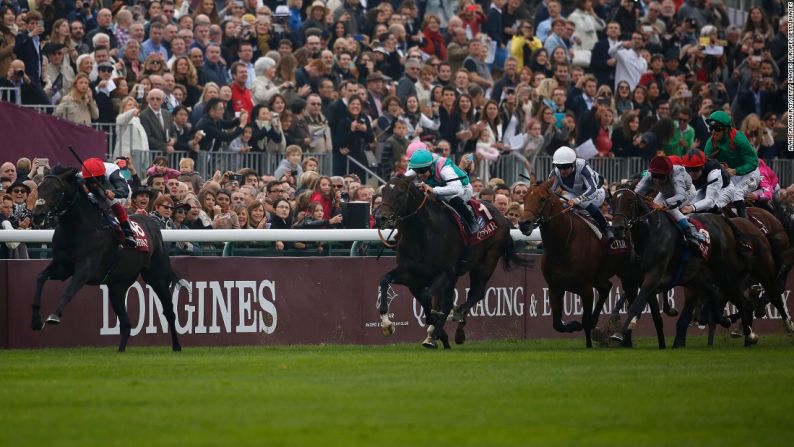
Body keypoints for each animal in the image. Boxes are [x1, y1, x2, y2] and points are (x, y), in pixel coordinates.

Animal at [31, 166, 181, 352]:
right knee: (126, 324)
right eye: (39, 188)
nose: (37, 215)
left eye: (57, 190)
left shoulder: (86, 268)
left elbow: (69, 290)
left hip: (157, 277)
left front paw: (54, 316)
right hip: (118, 286)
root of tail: (150, 221)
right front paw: (36, 320)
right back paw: (120, 351)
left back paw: (177, 346)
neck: (77, 228)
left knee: (169, 312)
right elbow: (40, 277)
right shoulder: (63, 266)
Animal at [376, 175, 528, 350]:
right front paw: (387, 325)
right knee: (451, 301)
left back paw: (457, 321)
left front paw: (434, 323)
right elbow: (385, 281)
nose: (381, 218)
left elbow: (427, 298)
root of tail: (502, 216)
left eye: (400, 193)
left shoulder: (445, 272)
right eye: (383, 191)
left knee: (476, 293)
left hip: (486, 261)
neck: (422, 235)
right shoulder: (411, 276)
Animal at [516, 178, 664, 350]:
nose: (523, 223)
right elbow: (557, 324)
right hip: (602, 277)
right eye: (524, 197)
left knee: (640, 302)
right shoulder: (554, 287)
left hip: (630, 277)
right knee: (607, 288)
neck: (563, 243)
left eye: (542, 199)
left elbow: (585, 319)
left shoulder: (585, 287)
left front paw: (588, 343)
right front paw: (574, 325)